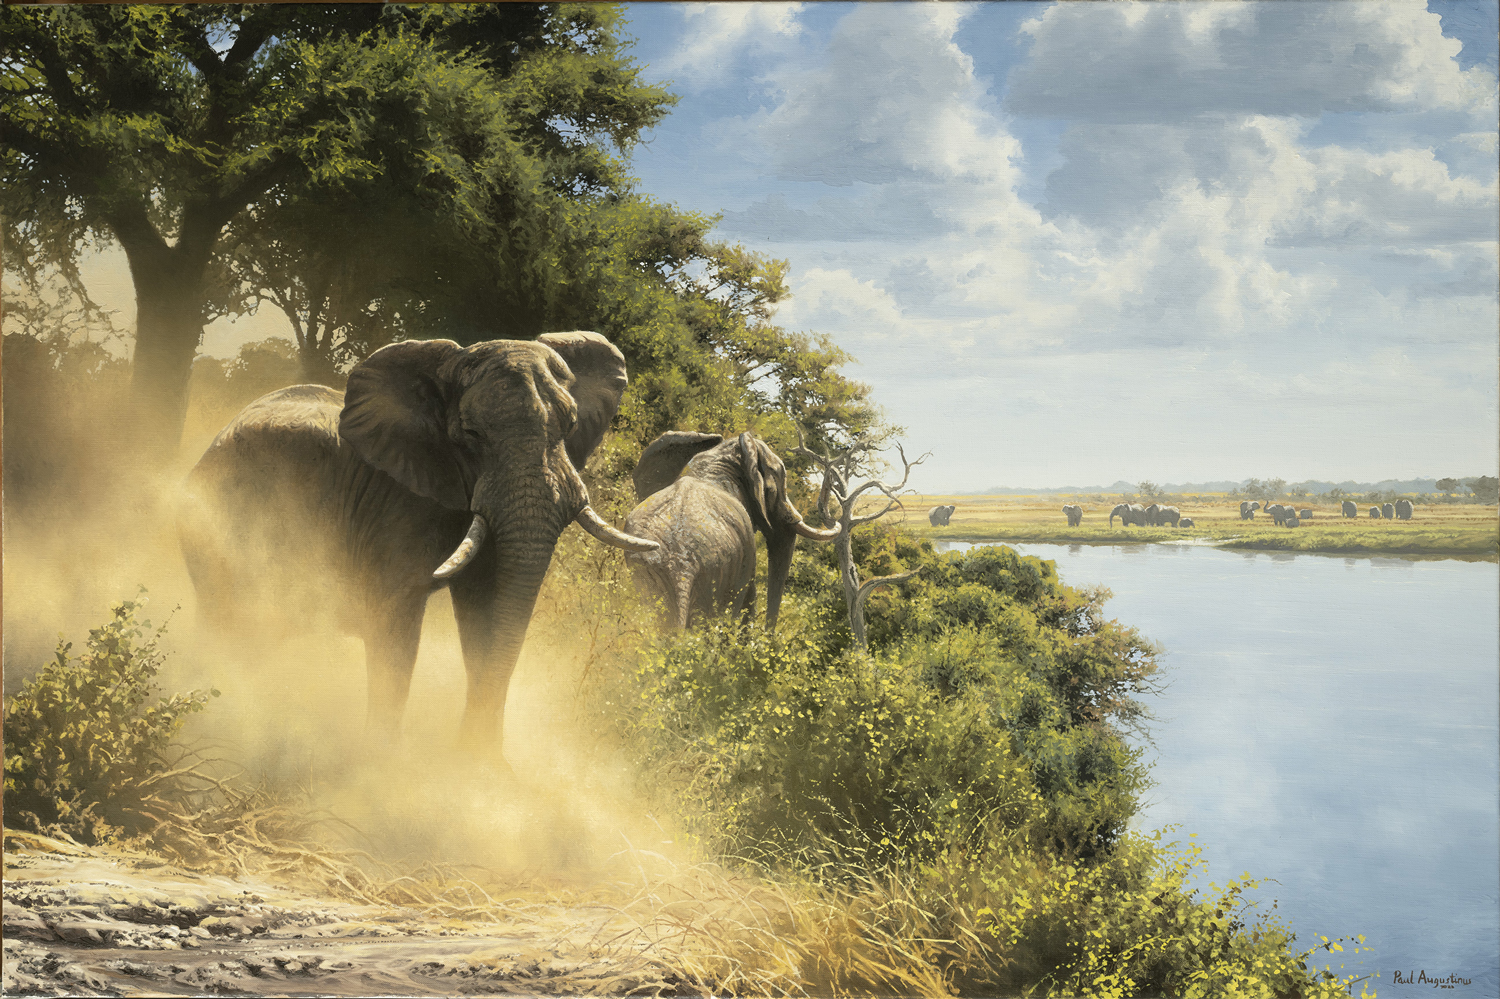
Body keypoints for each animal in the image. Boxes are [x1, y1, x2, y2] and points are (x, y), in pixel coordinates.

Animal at [177, 333, 658, 754]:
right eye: (470, 435)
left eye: (571, 425)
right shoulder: (398, 502)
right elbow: (396, 622)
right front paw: (385, 770)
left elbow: (486, 610)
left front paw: (479, 770)